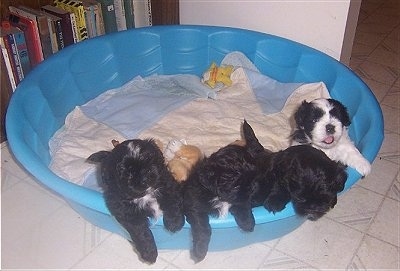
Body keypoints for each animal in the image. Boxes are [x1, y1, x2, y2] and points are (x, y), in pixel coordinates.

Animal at [184, 121, 346, 264]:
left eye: (325, 196)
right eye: (300, 197)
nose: (313, 209)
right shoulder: (195, 202)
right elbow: (202, 225)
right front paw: (200, 251)